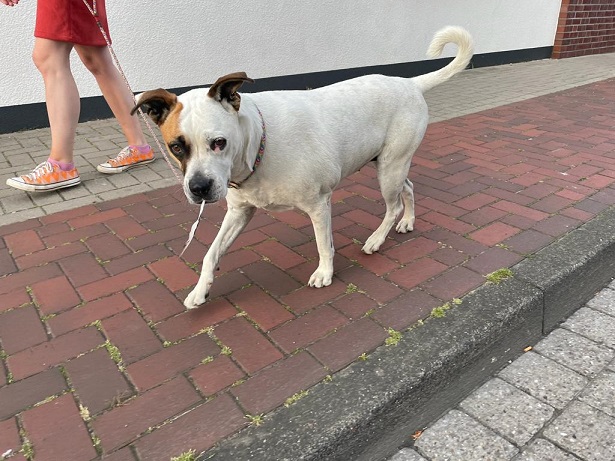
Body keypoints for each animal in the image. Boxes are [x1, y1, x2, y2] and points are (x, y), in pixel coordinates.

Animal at [133, 26, 474, 309]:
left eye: (219, 142)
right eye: (176, 147)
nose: (199, 188)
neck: (260, 144)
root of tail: (409, 82)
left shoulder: (318, 204)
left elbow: (324, 245)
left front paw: (325, 273)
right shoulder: (239, 212)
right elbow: (210, 253)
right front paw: (200, 290)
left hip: (389, 170)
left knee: (393, 206)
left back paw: (377, 239)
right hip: (391, 163)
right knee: (409, 188)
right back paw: (408, 222)